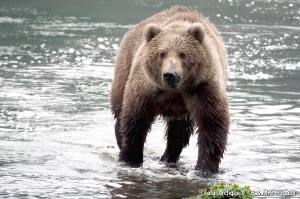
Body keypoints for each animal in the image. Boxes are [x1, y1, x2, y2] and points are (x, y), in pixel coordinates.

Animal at [110, 5, 230, 176]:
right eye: (162, 53)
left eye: (183, 54)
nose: (170, 74)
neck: (176, 90)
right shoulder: (146, 88)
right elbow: (136, 120)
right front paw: (131, 159)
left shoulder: (202, 89)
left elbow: (212, 124)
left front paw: (205, 168)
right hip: (124, 70)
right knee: (120, 110)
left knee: (179, 131)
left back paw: (168, 157)